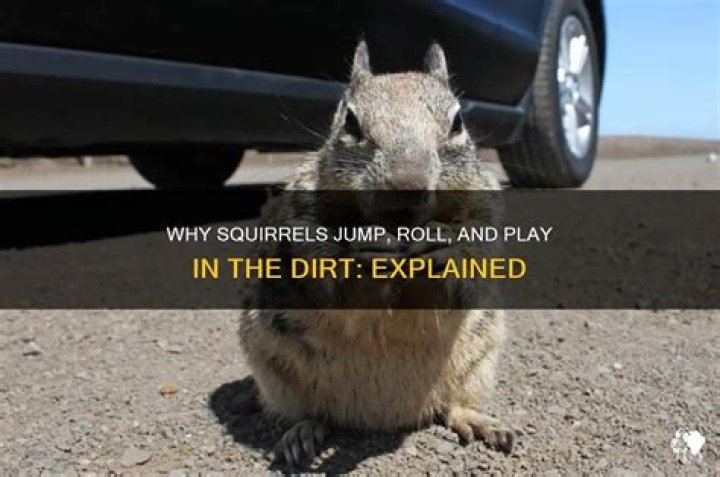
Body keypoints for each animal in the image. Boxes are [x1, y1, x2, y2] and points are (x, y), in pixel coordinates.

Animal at [238, 41, 513, 466]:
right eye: (349, 122)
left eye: (457, 123)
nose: (407, 184)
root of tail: (382, 417)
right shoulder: (300, 217)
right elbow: (321, 276)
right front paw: (360, 252)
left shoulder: (486, 212)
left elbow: (474, 269)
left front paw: (444, 248)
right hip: (273, 372)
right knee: (304, 414)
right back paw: (301, 433)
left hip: (479, 364)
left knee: (452, 404)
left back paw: (477, 420)